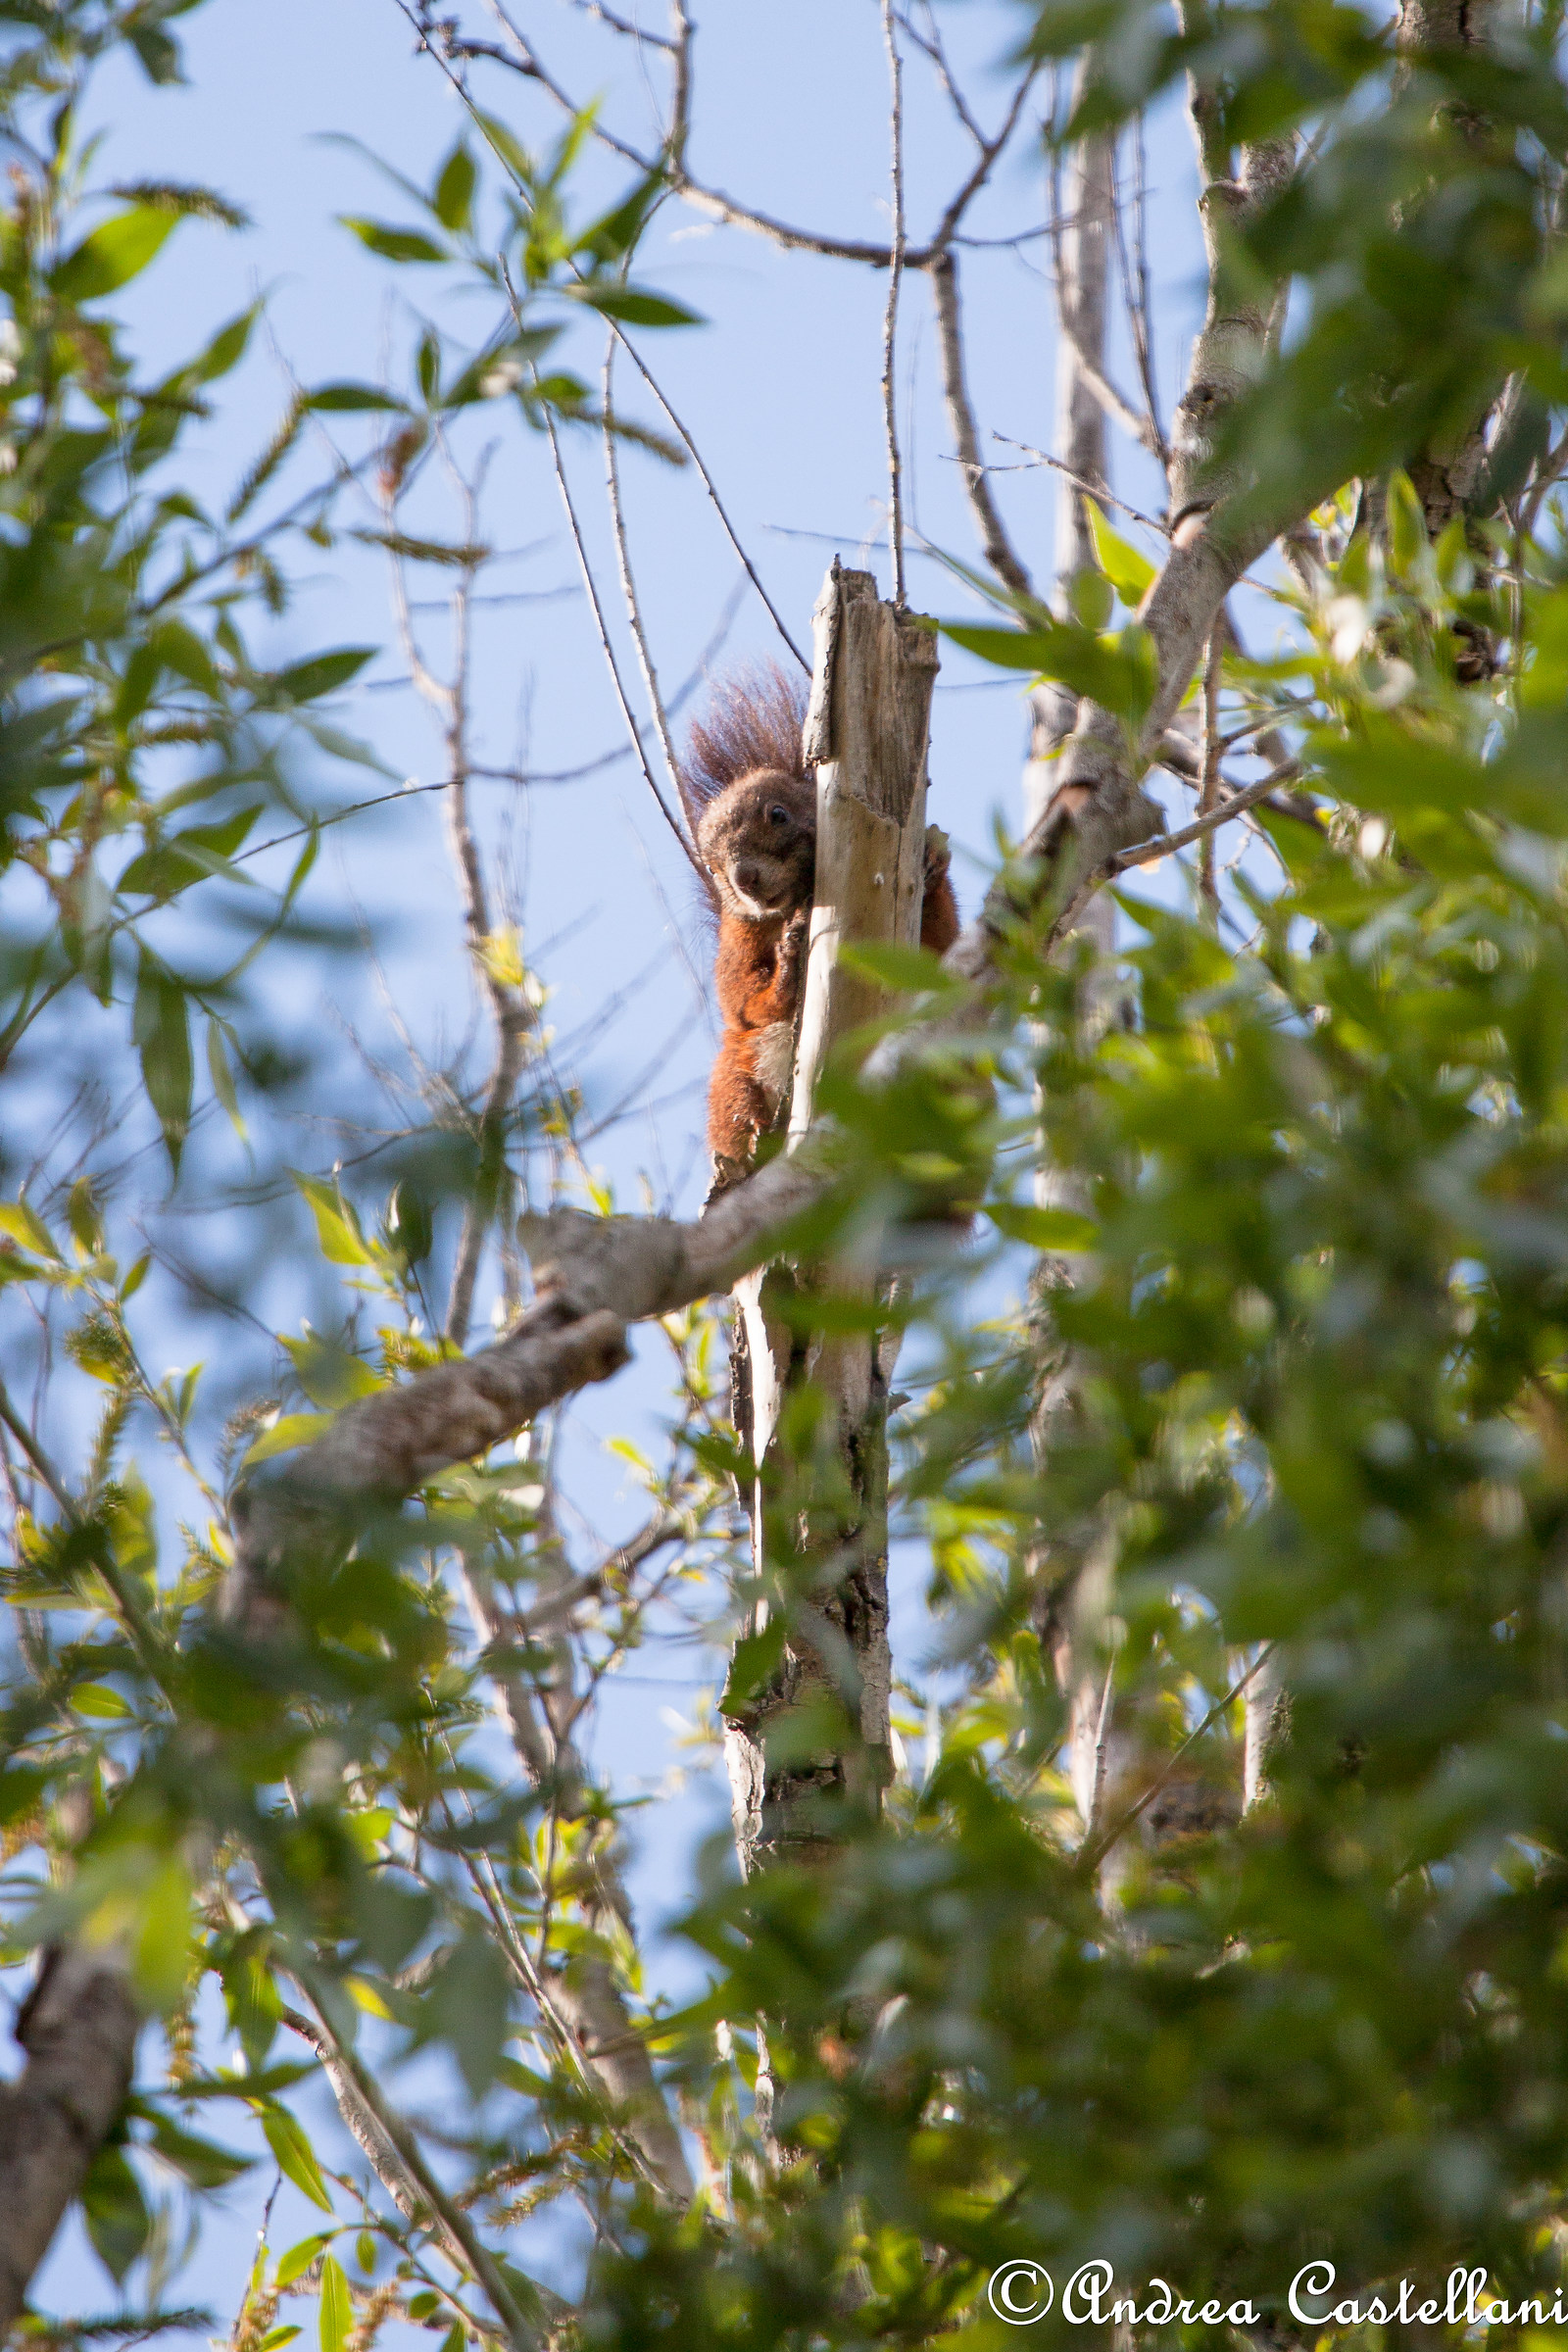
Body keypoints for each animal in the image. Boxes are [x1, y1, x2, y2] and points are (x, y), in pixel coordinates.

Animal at [680, 667, 959, 1170]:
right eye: (712, 866)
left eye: (778, 814)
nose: (744, 878)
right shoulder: (738, 936)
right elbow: (741, 997)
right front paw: (788, 969)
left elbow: (942, 950)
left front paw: (932, 862)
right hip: (737, 1068)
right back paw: (750, 1138)